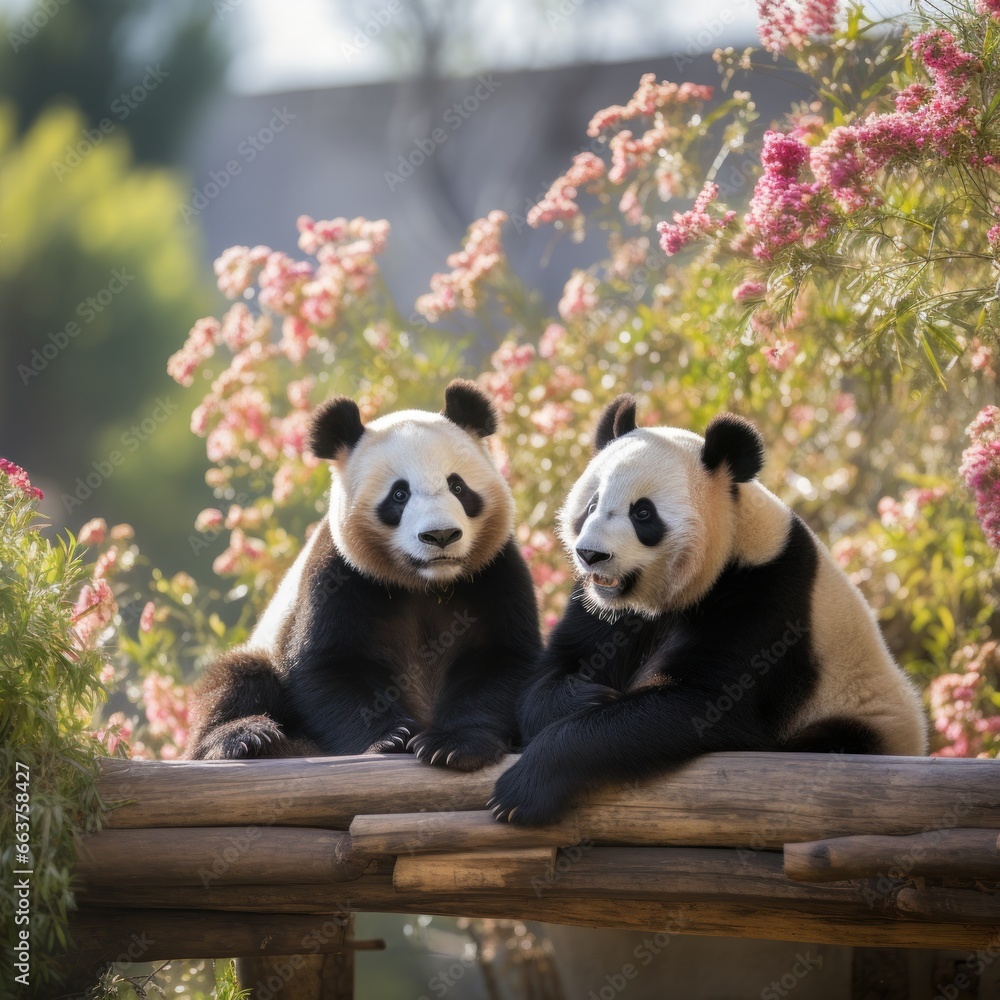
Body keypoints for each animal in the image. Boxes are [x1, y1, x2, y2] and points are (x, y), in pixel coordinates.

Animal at [186, 378, 540, 768]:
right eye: (399, 495)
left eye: (458, 487)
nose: (441, 535)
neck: (426, 583)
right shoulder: (340, 574)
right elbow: (330, 667)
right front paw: (389, 738)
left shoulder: (495, 570)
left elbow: (503, 660)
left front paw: (453, 745)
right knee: (239, 677)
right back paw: (246, 738)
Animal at [488, 394, 924, 824]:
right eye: (592, 504)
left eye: (642, 512)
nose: (591, 555)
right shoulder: (608, 611)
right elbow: (552, 674)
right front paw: (588, 697)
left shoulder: (768, 599)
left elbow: (703, 705)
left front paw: (521, 790)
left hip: (861, 717)